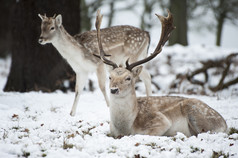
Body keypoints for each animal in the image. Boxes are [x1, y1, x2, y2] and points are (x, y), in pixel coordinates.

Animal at [94, 10, 227, 138]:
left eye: (128, 78)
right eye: (110, 77)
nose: (114, 89)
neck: (125, 127)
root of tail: (224, 124)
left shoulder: (162, 121)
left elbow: (146, 133)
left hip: (197, 112)